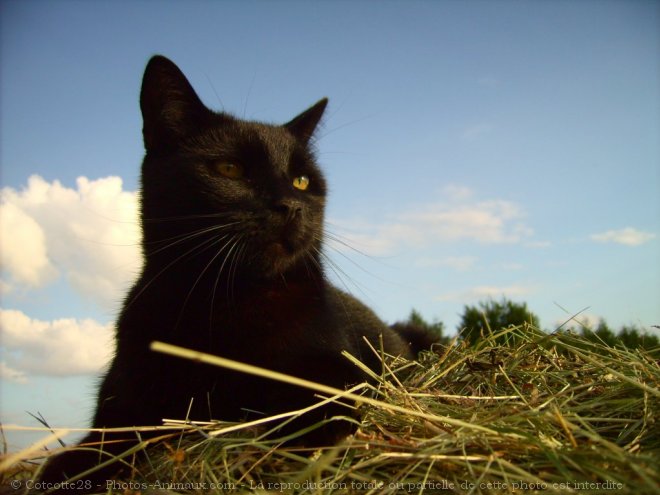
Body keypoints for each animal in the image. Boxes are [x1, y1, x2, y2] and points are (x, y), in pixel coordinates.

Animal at [37, 56, 428, 490]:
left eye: (301, 180)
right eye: (230, 169)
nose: (290, 205)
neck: (225, 299)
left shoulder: (340, 371)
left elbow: (323, 407)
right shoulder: (119, 412)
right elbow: (81, 458)